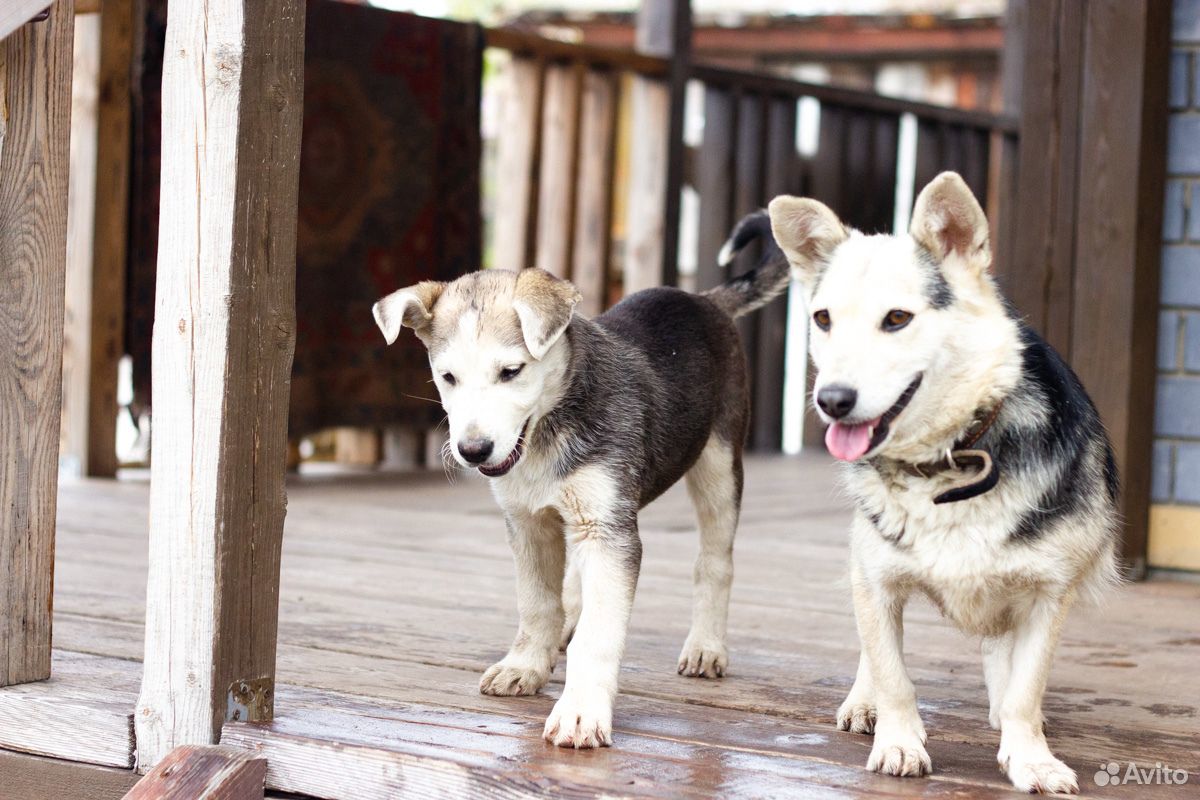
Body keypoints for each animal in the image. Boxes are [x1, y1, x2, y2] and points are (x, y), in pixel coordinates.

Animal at [369, 226, 792, 753]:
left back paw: (706, 646)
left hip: (718, 464)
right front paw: (525, 666)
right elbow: (537, 603)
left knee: (715, 561)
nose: (473, 450)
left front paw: (580, 713)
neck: (548, 429)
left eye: (511, 372)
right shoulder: (528, 524)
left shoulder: (610, 534)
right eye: (447, 377)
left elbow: (598, 635)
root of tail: (702, 298)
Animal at [744, 172, 1118, 791]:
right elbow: (892, 670)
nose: (831, 400)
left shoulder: (1048, 592)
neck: (949, 458)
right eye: (823, 319)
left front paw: (1030, 755)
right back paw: (864, 701)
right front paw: (898, 740)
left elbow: (1025, 687)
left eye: (897, 319)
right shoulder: (878, 578)